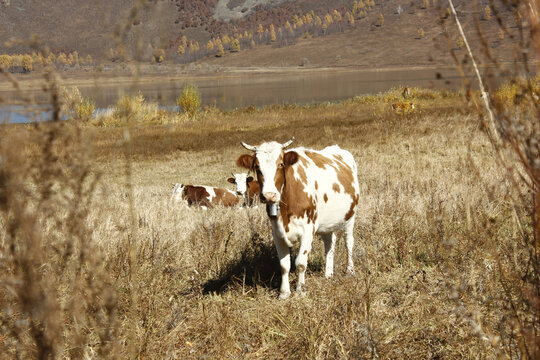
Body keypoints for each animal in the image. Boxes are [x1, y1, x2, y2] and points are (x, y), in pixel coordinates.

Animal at [236, 137, 358, 298]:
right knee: (329, 243)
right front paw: (284, 292)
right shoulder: (277, 232)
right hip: (326, 223)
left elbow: (300, 262)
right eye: (257, 166)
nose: (269, 195)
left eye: (281, 164)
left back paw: (350, 270)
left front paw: (300, 290)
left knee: (348, 242)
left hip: (350, 217)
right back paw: (328, 274)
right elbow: (284, 265)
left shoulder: (308, 229)